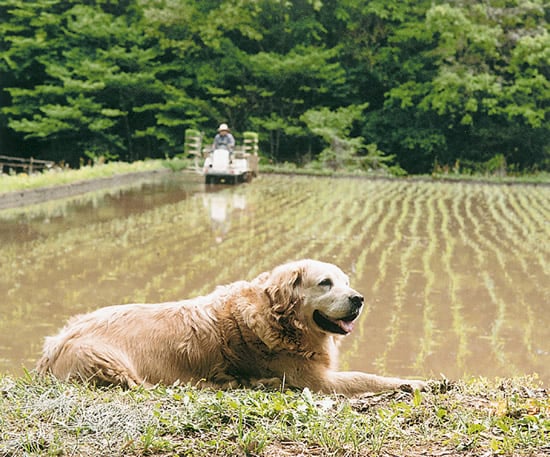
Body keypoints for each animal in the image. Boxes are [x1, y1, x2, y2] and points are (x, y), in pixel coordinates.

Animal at [36, 258, 430, 394]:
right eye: (325, 283)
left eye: (346, 282)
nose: (359, 299)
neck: (278, 318)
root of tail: (53, 347)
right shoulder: (316, 380)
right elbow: (370, 377)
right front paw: (419, 382)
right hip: (105, 360)